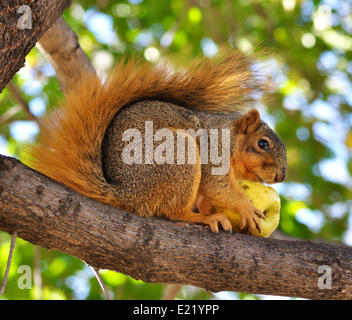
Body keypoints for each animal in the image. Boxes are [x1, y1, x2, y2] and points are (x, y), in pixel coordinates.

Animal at [29, 50, 286, 235]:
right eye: (263, 144)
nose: (280, 177)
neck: (230, 137)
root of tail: (127, 193)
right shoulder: (214, 150)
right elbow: (217, 185)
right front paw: (246, 208)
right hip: (178, 156)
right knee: (171, 211)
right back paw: (202, 218)